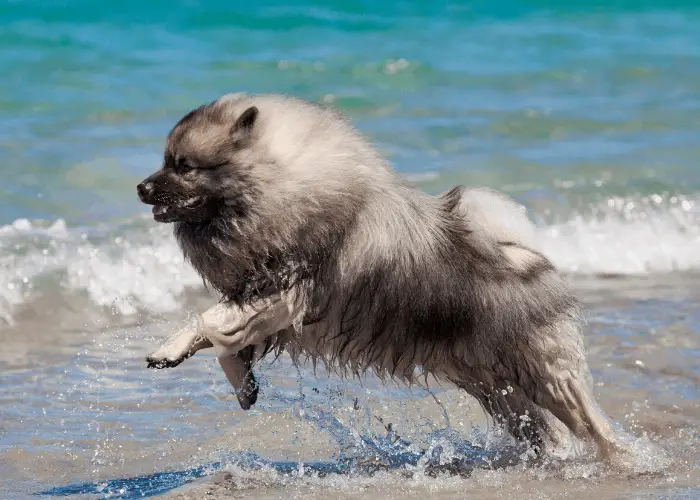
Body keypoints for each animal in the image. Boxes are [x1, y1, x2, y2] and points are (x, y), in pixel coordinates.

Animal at [137, 92, 616, 458]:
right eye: (166, 161)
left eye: (184, 166)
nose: (141, 187)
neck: (284, 184)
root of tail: (529, 257)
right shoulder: (262, 299)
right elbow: (226, 340)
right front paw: (242, 386)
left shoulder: (285, 293)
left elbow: (209, 321)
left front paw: (168, 348)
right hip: (496, 388)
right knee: (543, 433)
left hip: (544, 376)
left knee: (595, 427)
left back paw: (617, 462)